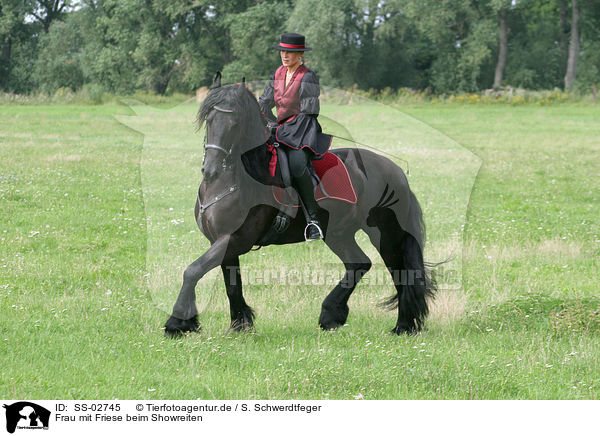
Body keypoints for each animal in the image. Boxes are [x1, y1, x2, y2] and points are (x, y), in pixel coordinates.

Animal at [164, 73, 436, 336]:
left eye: (235, 123)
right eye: (209, 119)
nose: (210, 170)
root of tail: (394, 170)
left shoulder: (236, 238)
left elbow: (193, 270)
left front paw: (178, 322)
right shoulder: (223, 241)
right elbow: (231, 284)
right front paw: (240, 324)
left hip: (386, 234)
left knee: (400, 273)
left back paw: (403, 326)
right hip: (339, 233)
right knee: (358, 263)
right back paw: (331, 315)